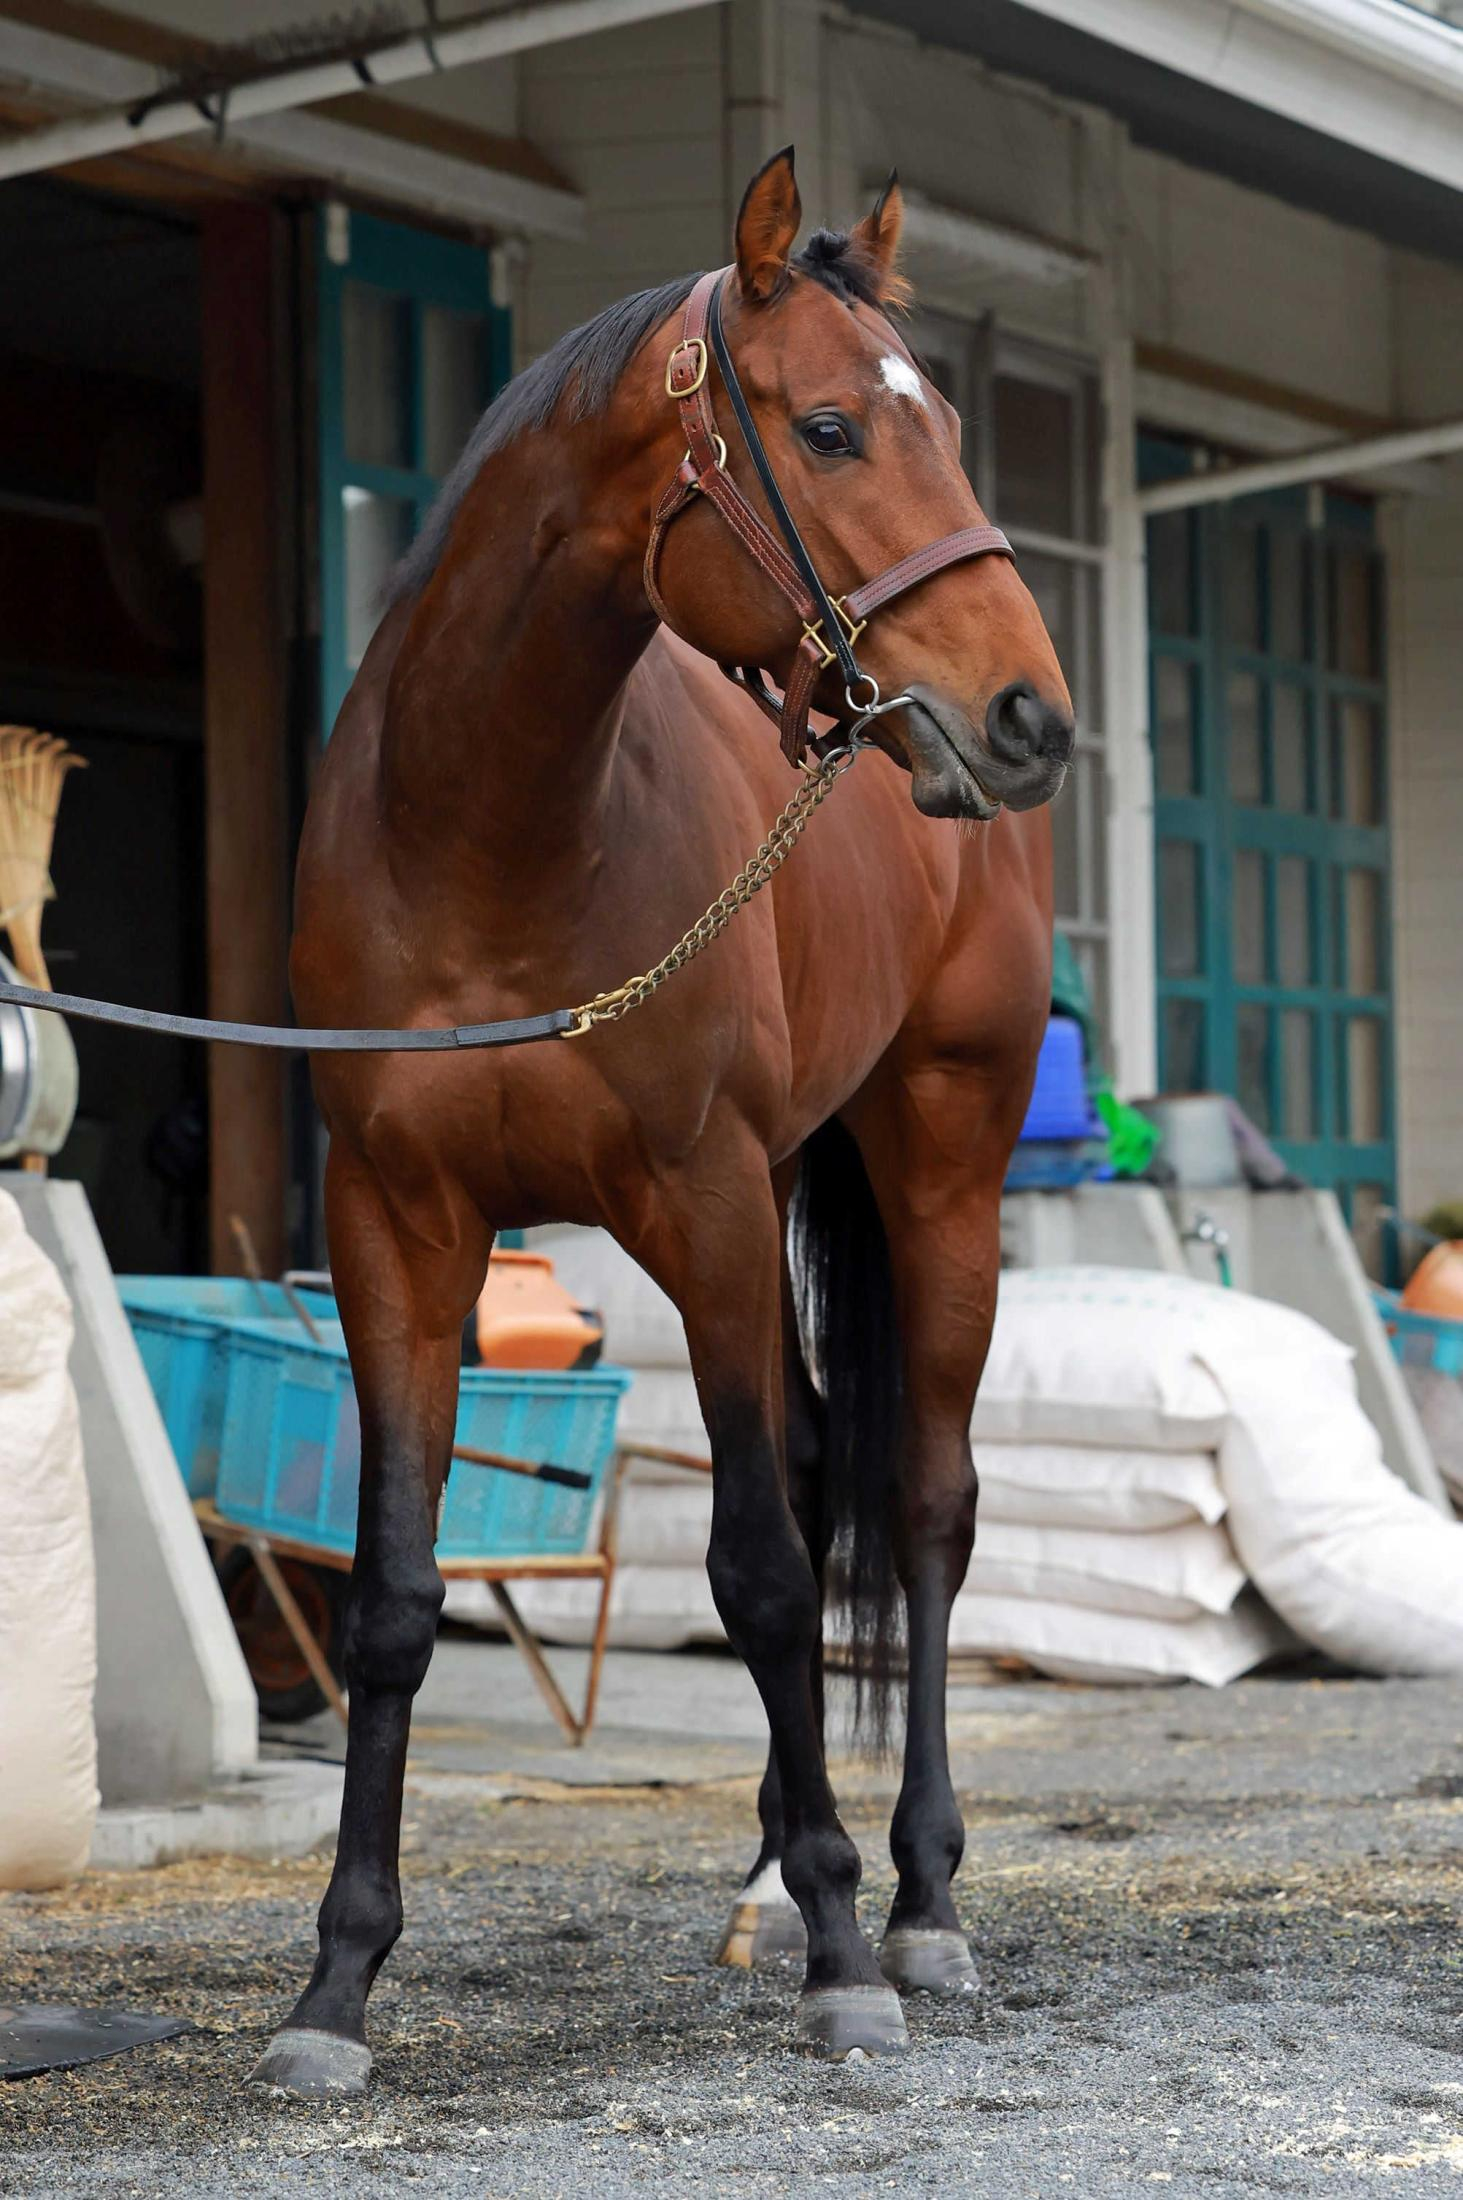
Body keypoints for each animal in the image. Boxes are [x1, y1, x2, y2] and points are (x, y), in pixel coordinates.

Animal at [254, 146, 1073, 2085]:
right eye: (832, 427)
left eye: (948, 431)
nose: (1030, 714)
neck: (488, 837)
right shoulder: (395, 1225)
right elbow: (392, 1595)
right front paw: (336, 1987)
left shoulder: (692, 1198)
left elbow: (766, 1574)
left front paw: (850, 1964)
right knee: (816, 1463)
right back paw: (779, 1868)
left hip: (936, 1164)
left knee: (919, 1504)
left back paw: (907, 1901)